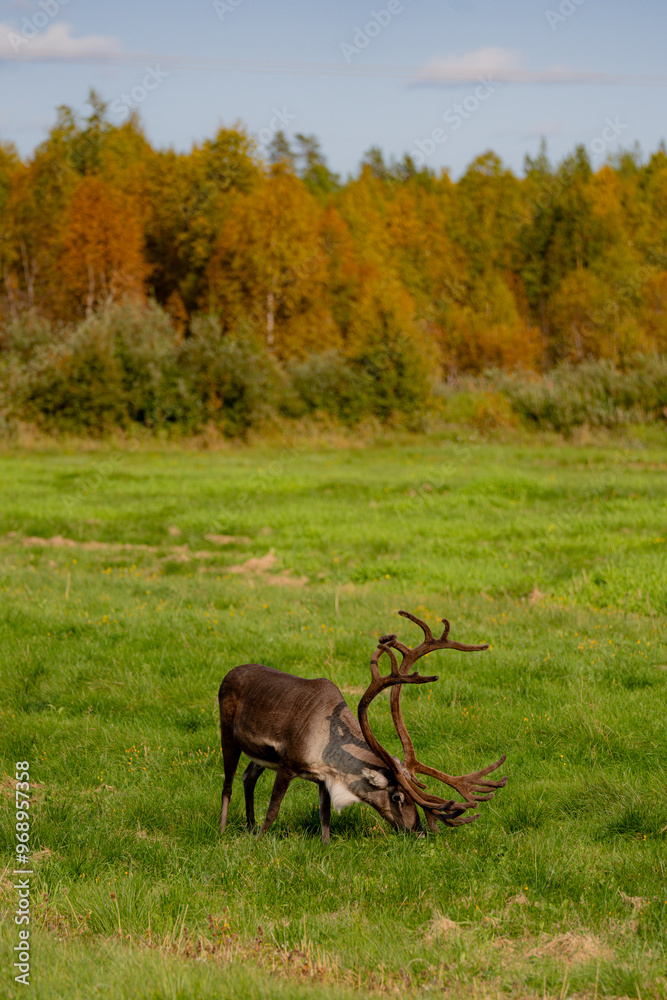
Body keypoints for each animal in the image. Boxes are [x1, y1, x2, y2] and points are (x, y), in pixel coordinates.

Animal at [218, 610, 507, 841]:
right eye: (397, 797)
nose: (418, 831)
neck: (328, 751)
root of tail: (228, 673)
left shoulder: (322, 778)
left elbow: (325, 819)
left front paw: (325, 847)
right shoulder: (288, 764)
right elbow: (274, 810)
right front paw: (260, 841)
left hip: (260, 755)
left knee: (248, 777)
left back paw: (249, 826)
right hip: (227, 734)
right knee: (228, 783)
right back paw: (223, 830)